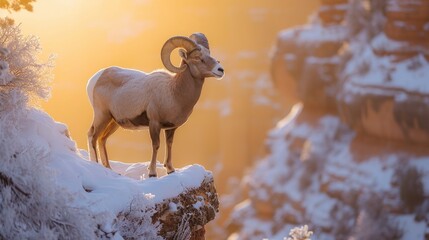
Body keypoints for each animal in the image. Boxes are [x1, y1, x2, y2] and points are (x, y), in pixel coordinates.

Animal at [86, 32, 224, 177]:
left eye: (209, 54)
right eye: (198, 58)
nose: (220, 70)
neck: (173, 92)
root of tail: (95, 79)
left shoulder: (171, 128)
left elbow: (169, 144)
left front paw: (170, 170)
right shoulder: (154, 123)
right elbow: (156, 145)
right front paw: (152, 173)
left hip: (113, 122)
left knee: (102, 139)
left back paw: (109, 169)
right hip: (102, 116)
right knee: (93, 136)